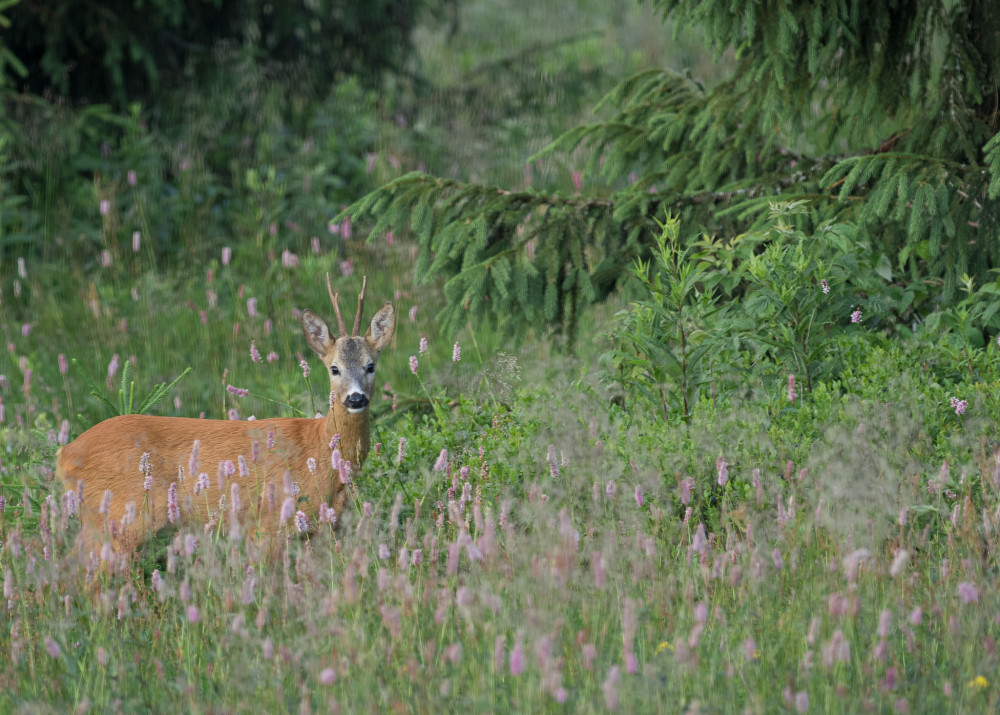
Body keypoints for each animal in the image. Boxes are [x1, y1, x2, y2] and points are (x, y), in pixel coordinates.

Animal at [55, 276, 394, 556]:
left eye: (370, 365)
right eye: (334, 368)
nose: (355, 398)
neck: (320, 449)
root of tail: (65, 454)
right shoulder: (269, 525)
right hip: (123, 516)